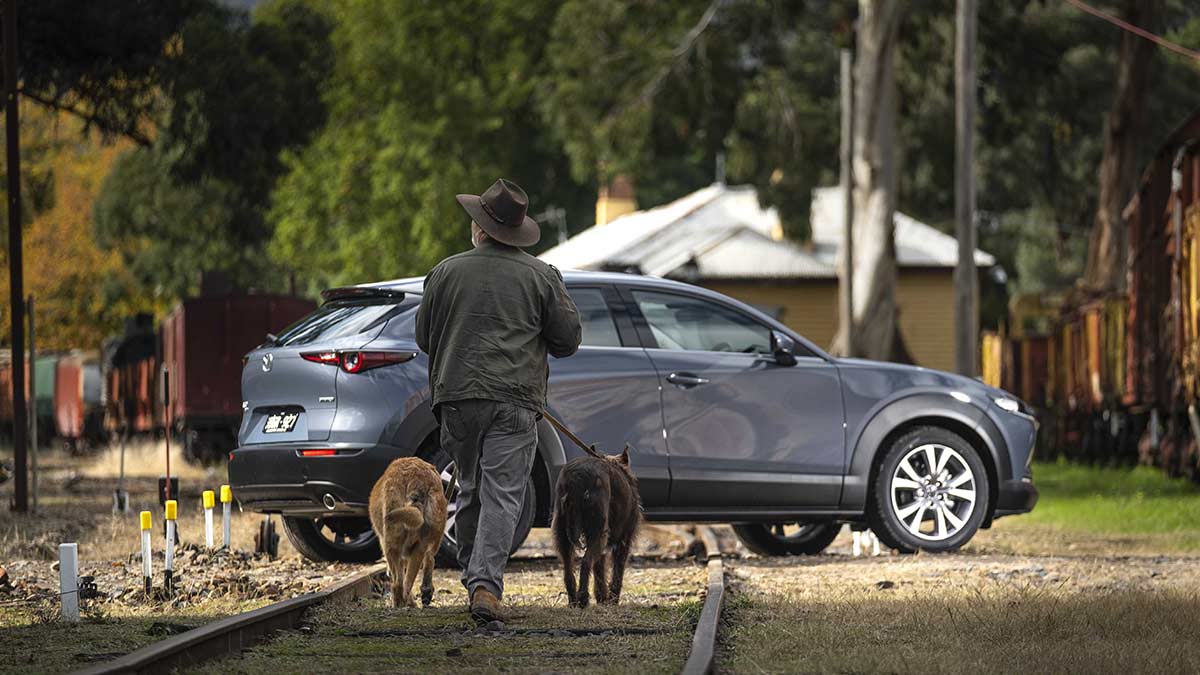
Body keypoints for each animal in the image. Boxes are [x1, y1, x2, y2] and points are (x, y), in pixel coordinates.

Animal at [367, 456, 448, 605]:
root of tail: (416, 480)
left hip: (392, 544)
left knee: (398, 584)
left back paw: (400, 604)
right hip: (423, 542)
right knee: (409, 580)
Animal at [552, 444, 643, 607]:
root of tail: (575, 478)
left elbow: (599, 570)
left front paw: (602, 598)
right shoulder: (624, 541)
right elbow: (617, 572)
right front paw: (613, 600)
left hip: (562, 534)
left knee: (568, 571)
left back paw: (573, 601)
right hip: (598, 533)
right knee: (585, 563)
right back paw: (583, 599)